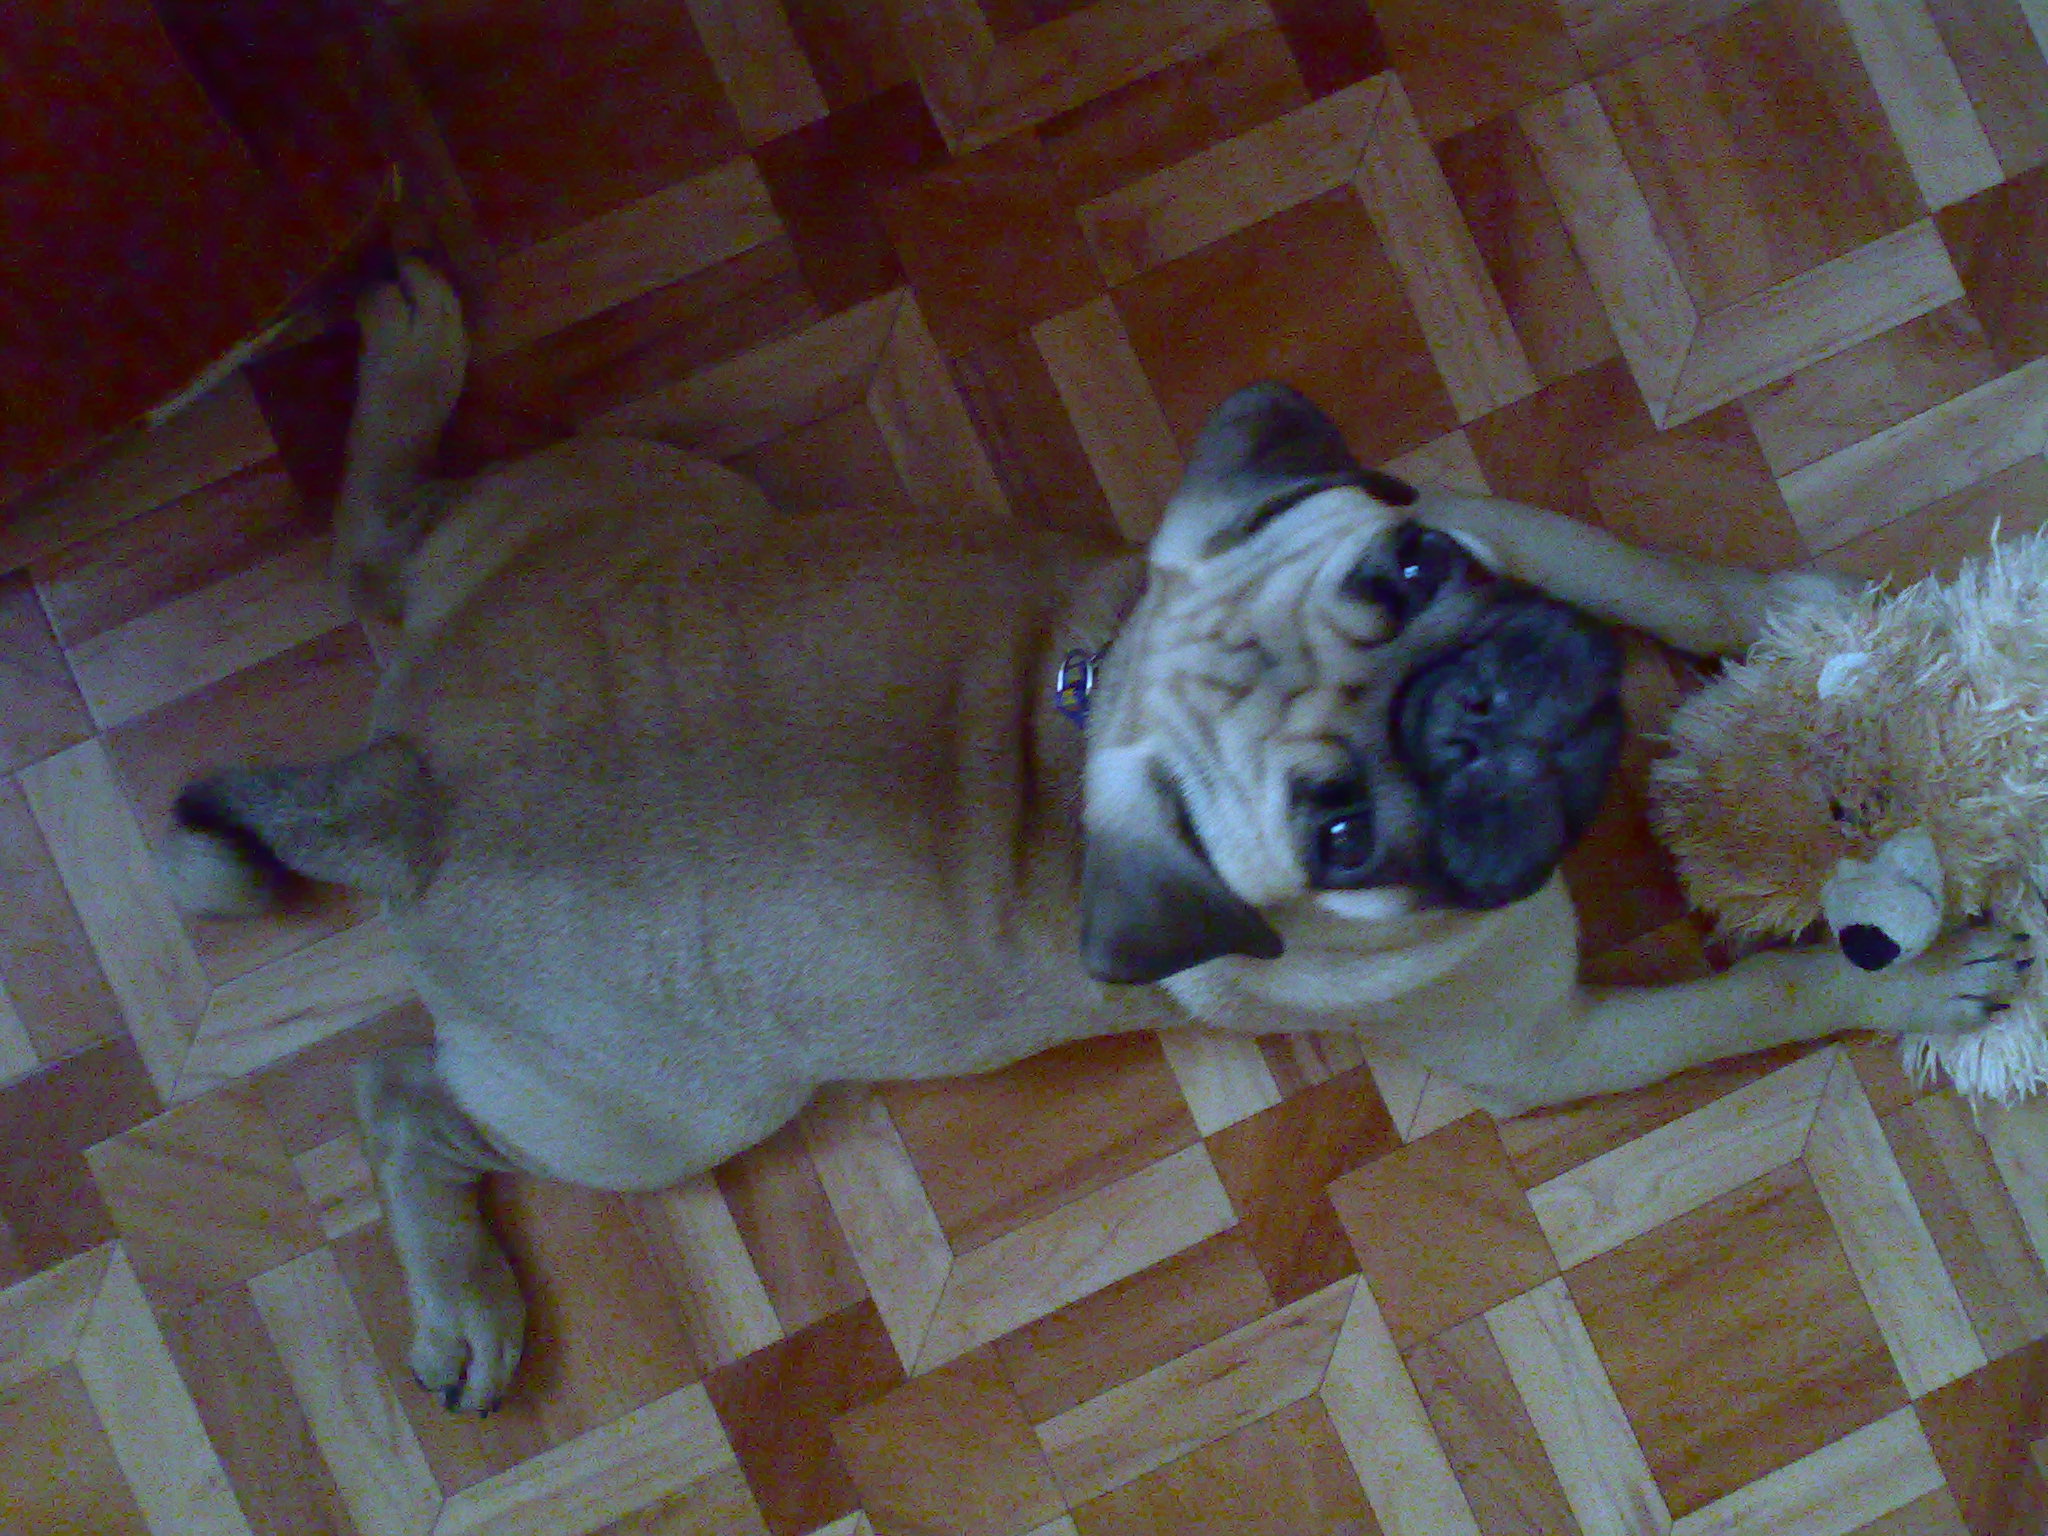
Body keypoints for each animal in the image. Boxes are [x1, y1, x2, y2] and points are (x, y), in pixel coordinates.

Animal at [166, 261, 2027, 1412]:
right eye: (1336, 828)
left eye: (1410, 573)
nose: (1471, 709)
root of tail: (407, 782)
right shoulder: (1551, 1043)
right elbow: (1759, 1000)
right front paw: (1908, 984)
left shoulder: (1482, 515)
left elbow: (1629, 564)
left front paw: (1775, 614)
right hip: (663, 1111)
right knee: (401, 1094)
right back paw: (465, 1304)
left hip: (634, 505)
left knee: (384, 537)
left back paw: (406, 359)